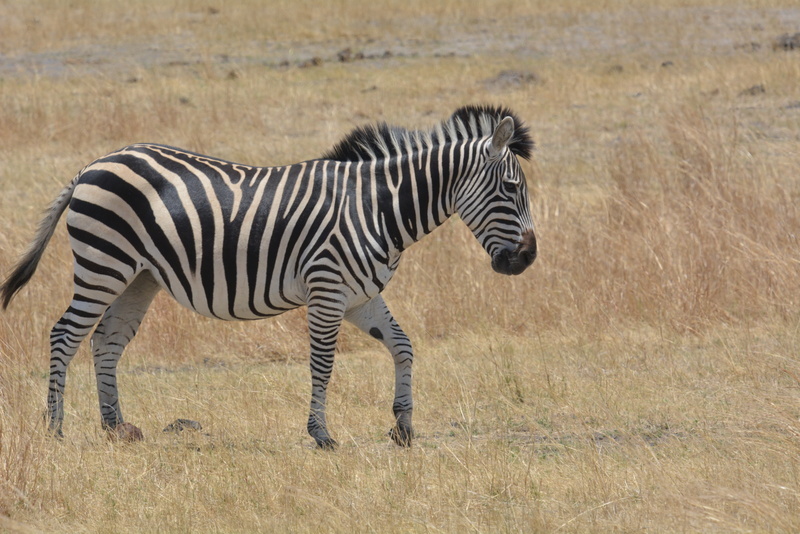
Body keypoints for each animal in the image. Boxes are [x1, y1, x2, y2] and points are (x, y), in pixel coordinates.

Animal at [1, 104, 536, 448]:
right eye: (512, 190)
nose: (527, 260)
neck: (375, 208)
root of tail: (93, 164)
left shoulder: (360, 296)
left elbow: (403, 346)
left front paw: (403, 427)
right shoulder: (327, 290)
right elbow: (323, 363)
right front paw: (321, 434)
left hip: (138, 277)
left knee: (106, 341)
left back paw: (116, 428)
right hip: (103, 264)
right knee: (65, 334)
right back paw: (55, 429)